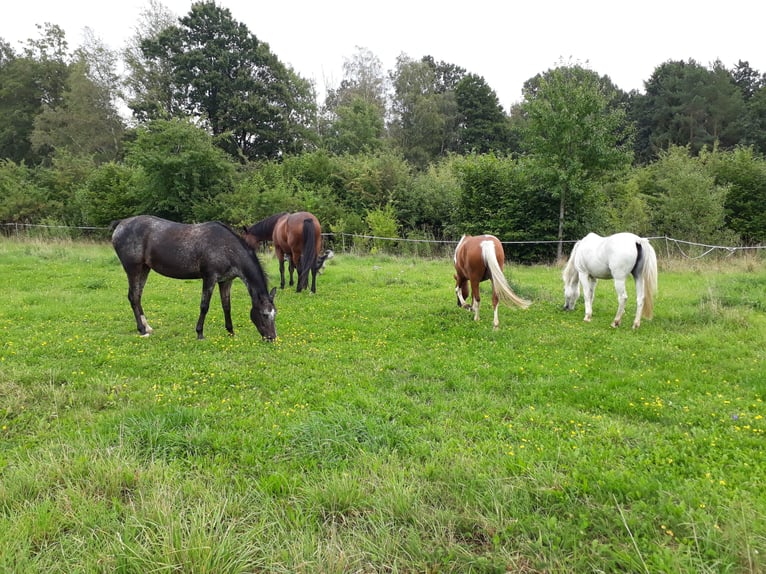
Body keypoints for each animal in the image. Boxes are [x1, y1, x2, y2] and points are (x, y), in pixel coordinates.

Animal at [111, 215, 277, 340]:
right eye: (264, 314)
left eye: (275, 313)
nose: (272, 338)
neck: (227, 248)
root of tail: (120, 224)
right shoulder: (209, 278)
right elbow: (204, 306)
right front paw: (200, 333)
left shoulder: (225, 281)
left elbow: (226, 306)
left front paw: (231, 332)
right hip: (133, 269)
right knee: (133, 297)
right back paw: (142, 330)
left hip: (144, 269)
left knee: (138, 296)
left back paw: (147, 327)